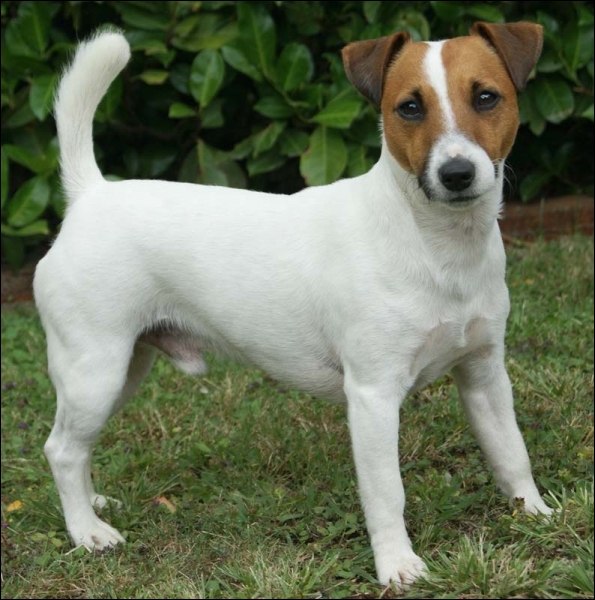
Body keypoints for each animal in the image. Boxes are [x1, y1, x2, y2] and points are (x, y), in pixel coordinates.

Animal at [34, 21, 550, 589]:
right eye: (410, 107)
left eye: (486, 97)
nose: (457, 173)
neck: (436, 245)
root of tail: (89, 195)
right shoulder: (373, 396)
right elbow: (386, 492)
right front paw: (396, 564)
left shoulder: (484, 375)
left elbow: (512, 452)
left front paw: (536, 512)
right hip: (95, 372)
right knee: (61, 449)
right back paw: (86, 531)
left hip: (124, 369)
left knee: (78, 445)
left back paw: (94, 505)